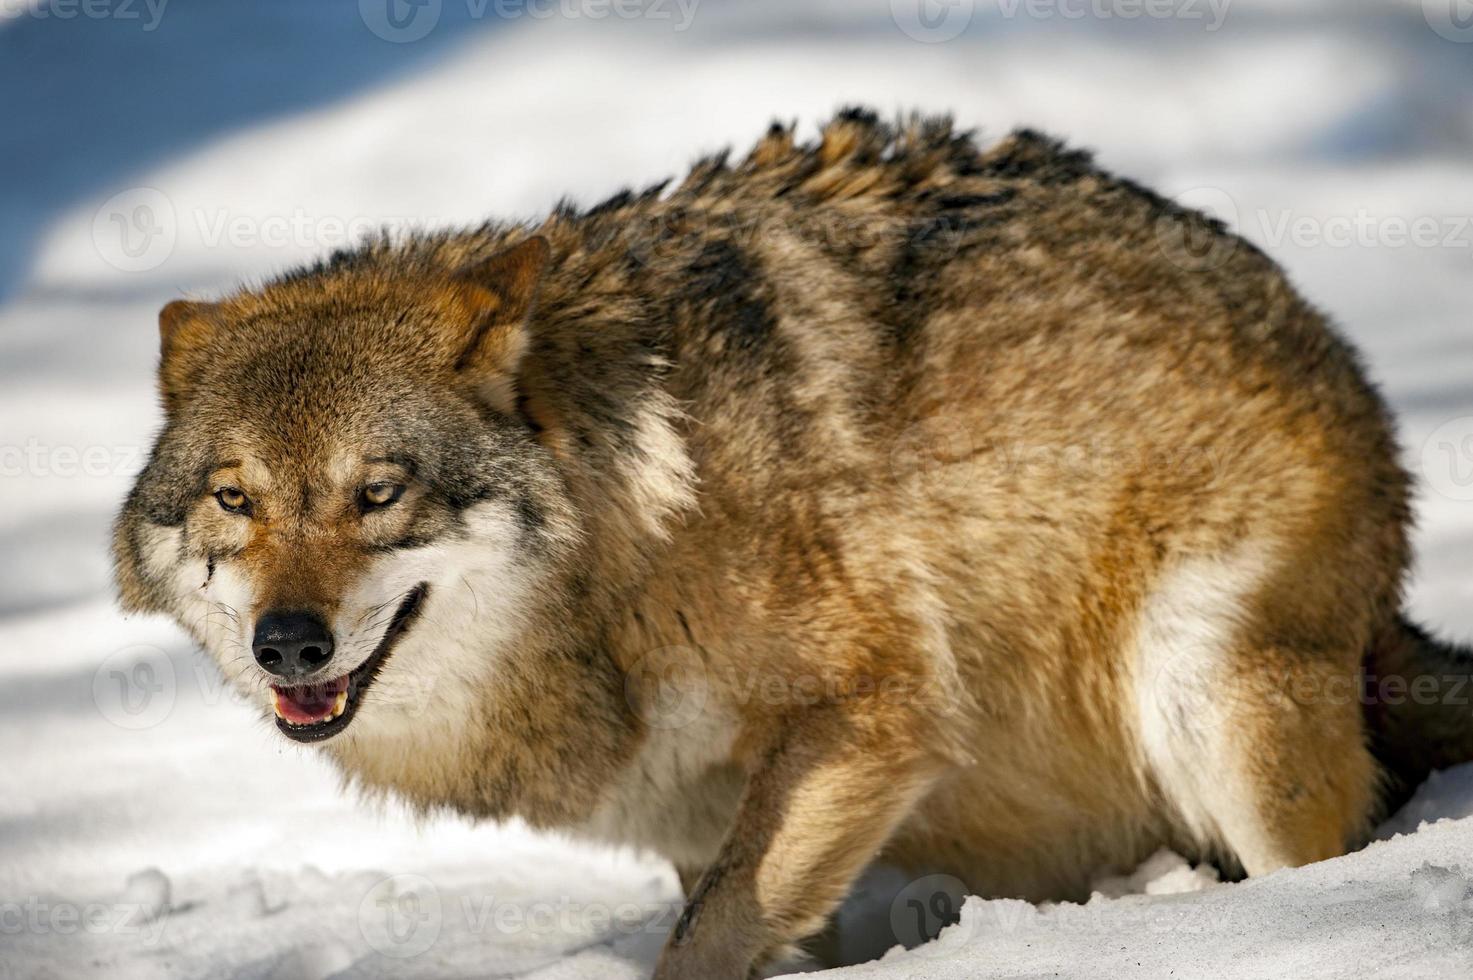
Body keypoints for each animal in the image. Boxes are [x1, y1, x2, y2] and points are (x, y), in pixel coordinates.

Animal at [114, 110, 1473, 972]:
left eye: (379, 491)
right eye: (236, 499)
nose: (289, 643)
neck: (633, 526)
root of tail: (1307, 316)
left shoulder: (874, 713)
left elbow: (704, 942)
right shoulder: (702, 817)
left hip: (1209, 699)